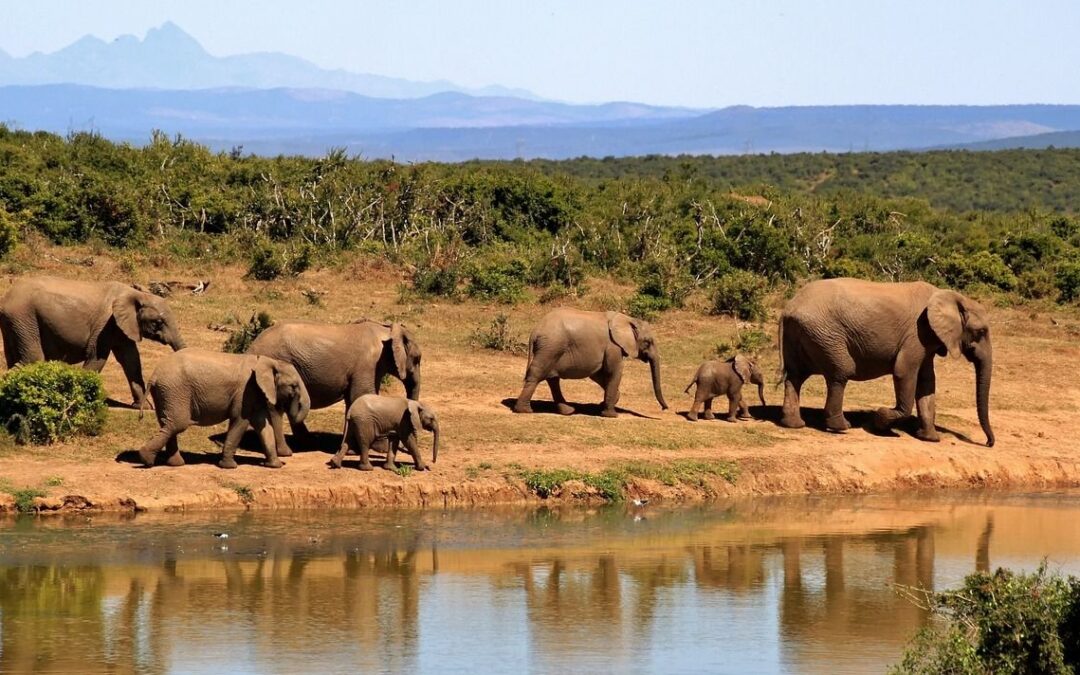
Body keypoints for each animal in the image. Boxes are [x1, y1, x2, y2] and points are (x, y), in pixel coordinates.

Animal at [0, 276, 184, 408]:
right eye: (158, 322)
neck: (137, 294)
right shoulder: (106, 324)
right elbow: (97, 357)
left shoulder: (121, 327)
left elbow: (131, 360)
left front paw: (143, 407)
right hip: (24, 317)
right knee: (32, 358)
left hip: (15, 322)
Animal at [136, 347, 308, 468]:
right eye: (293, 386)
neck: (269, 362)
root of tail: (154, 375)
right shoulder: (245, 391)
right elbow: (240, 421)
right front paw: (230, 467)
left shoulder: (255, 393)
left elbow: (263, 425)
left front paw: (275, 466)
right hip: (175, 390)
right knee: (177, 424)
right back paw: (146, 459)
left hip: (166, 393)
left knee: (168, 423)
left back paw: (175, 464)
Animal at [248, 319, 421, 440]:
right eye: (417, 359)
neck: (386, 329)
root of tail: (251, 346)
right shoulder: (367, 365)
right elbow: (361, 395)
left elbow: (353, 400)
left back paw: (306, 439)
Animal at [507, 306, 665, 416]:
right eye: (648, 342)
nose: (665, 408)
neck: (628, 319)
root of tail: (535, 331)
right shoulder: (613, 346)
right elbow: (614, 371)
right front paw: (611, 415)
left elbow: (598, 374)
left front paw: (606, 403)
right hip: (551, 346)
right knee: (537, 374)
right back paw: (525, 410)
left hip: (551, 348)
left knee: (552, 378)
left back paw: (568, 411)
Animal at [777, 278, 993, 447]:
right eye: (981, 332)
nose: (988, 443)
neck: (951, 296)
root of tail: (788, 308)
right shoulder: (917, 334)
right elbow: (904, 372)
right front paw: (880, 422)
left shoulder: (927, 340)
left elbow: (927, 383)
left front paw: (930, 439)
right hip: (825, 334)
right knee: (841, 372)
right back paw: (841, 427)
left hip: (803, 334)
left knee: (795, 376)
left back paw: (794, 424)